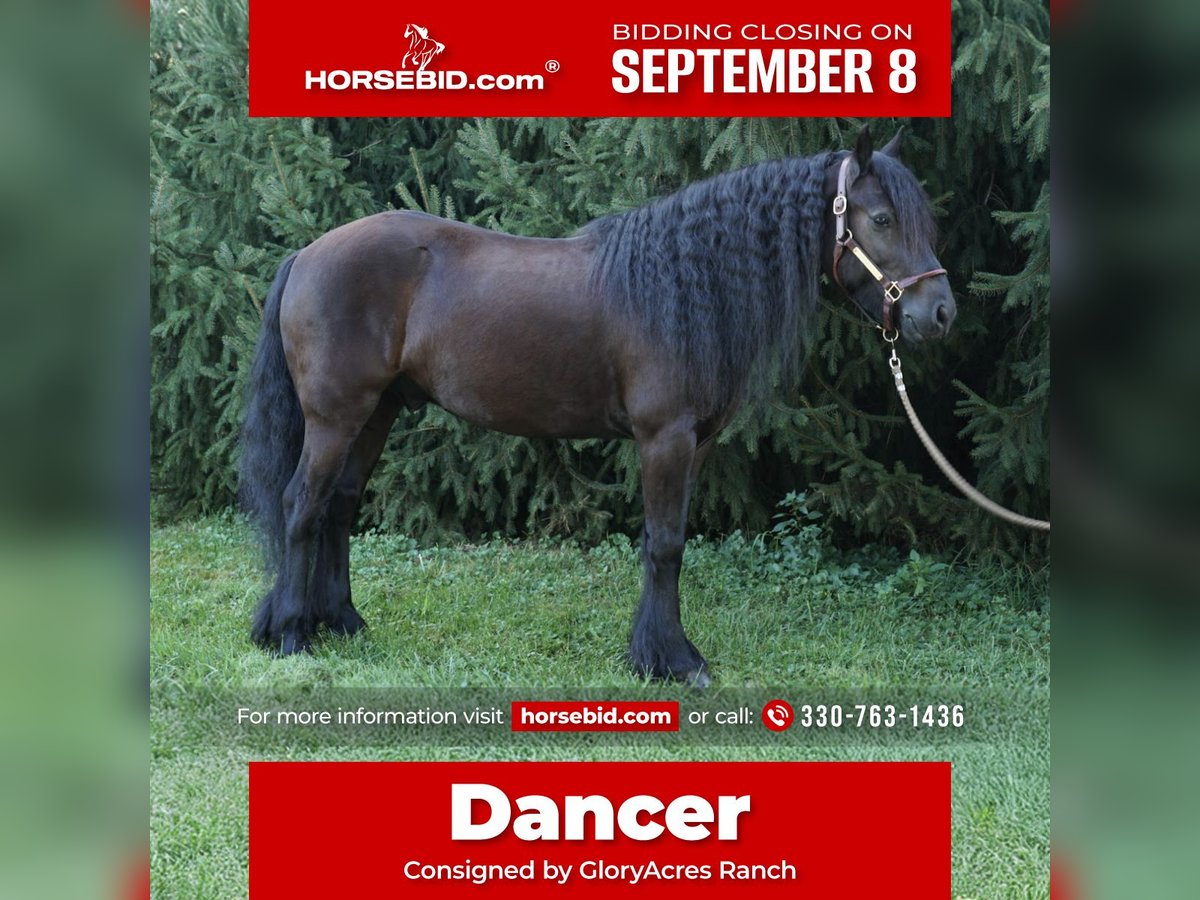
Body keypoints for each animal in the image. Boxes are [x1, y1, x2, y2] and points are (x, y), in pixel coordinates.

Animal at [239, 125, 956, 686]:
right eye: (882, 220)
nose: (941, 313)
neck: (681, 289)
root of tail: (308, 252)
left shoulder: (695, 445)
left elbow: (671, 541)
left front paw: (662, 653)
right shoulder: (663, 438)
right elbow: (664, 545)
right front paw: (670, 661)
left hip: (377, 412)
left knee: (339, 506)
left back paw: (343, 624)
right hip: (335, 416)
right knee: (302, 504)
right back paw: (292, 635)